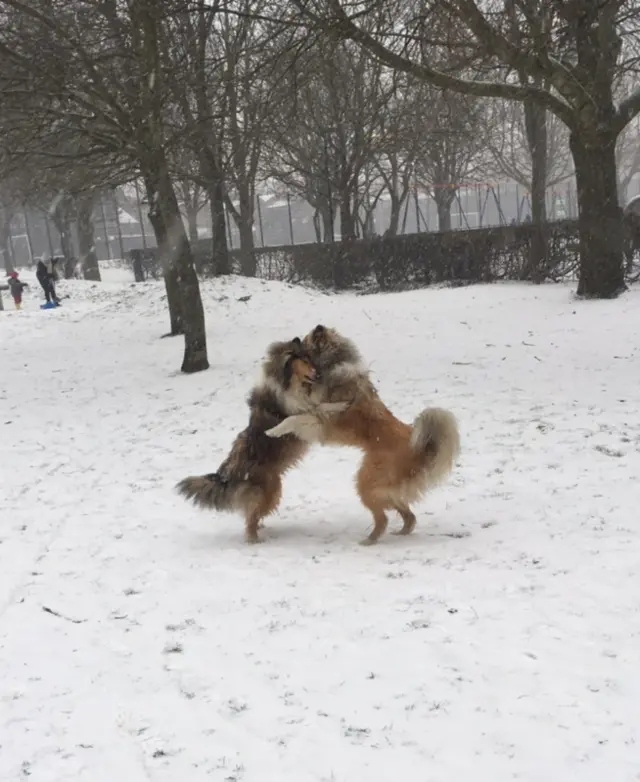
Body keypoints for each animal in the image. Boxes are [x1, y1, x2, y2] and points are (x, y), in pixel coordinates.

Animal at [266, 324, 460, 544]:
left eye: (307, 337)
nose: (319, 327)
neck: (334, 362)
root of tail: (419, 448)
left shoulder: (322, 420)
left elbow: (294, 418)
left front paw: (273, 431)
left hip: (366, 482)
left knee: (383, 518)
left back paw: (369, 540)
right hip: (383, 488)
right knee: (408, 515)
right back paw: (400, 532)